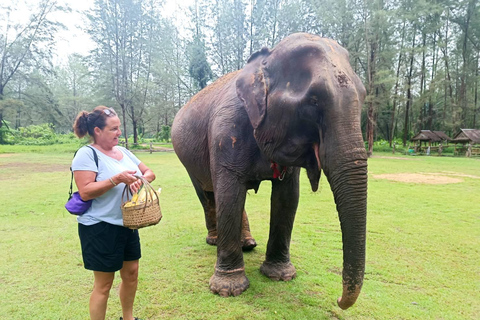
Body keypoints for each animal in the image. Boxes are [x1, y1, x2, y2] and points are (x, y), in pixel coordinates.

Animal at [172, 33, 368, 310]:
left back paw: (247, 244)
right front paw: (228, 289)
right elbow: (229, 193)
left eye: (363, 97)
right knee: (210, 193)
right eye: (313, 101)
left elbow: (287, 197)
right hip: (187, 158)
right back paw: (214, 240)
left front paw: (280, 275)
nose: (339, 300)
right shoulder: (226, 130)